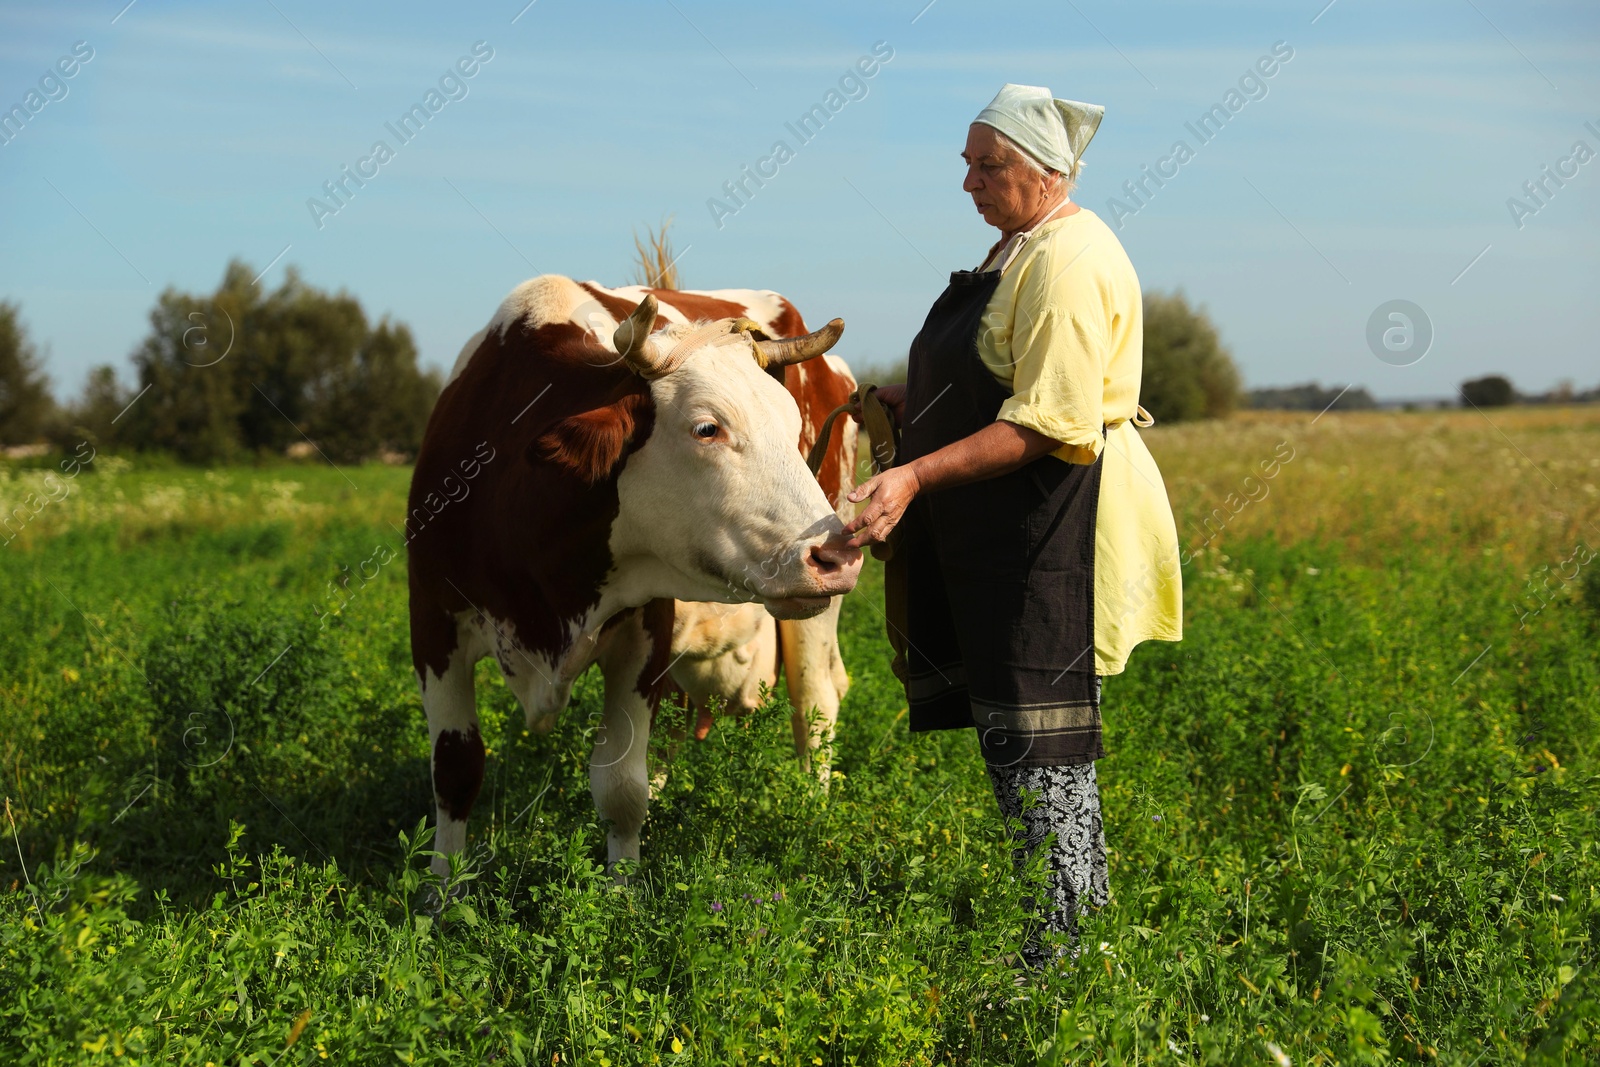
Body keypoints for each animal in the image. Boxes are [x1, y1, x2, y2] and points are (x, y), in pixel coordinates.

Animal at [412, 273, 864, 876]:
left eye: (795, 429)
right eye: (707, 428)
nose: (837, 554)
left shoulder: (644, 631)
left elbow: (621, 790)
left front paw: (621, 889)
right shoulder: (432, 624)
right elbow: (455, 772)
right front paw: (441, 891)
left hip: (815, 610)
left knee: (814, 700)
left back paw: (813, 812)